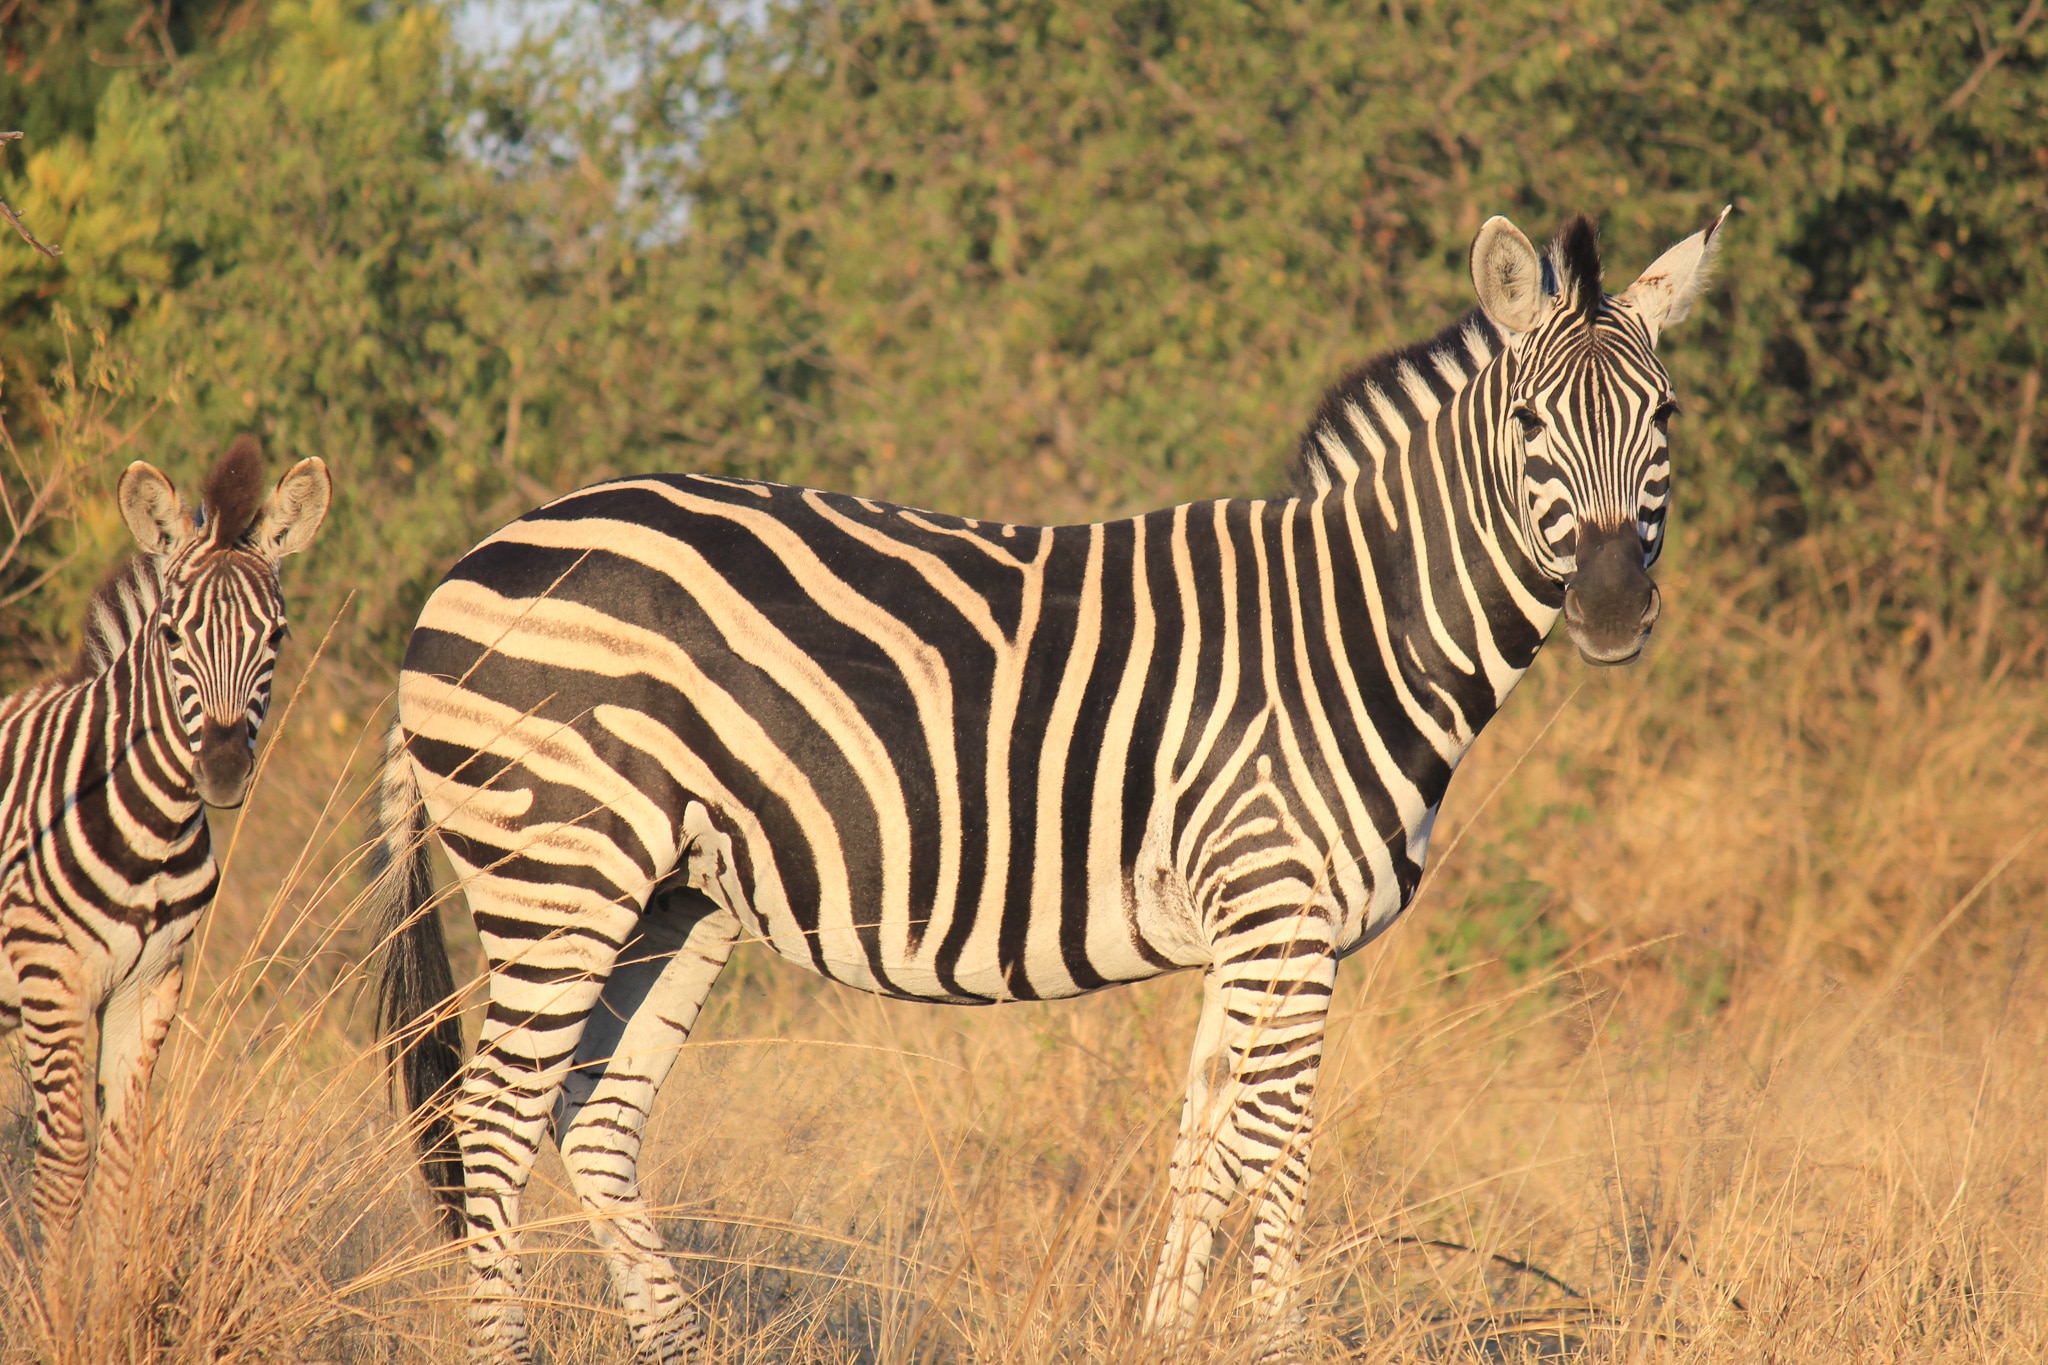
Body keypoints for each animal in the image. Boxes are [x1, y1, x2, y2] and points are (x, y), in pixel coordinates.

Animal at [0, 437, 329, 1236]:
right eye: (175, 633)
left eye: (277, 636)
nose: (223, 770)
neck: (154, 831)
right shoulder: (53, 982)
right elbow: (63, 1171)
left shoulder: (151, 985)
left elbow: (121, 1167)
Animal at [373, 209, 1726, 1363]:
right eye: (1528, 424)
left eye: (1662, 417)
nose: (1612, 609)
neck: (1354, 628)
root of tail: (468, 565)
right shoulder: (1280, 912)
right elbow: (1264, 1150)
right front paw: (1256, 1341)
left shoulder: (1259, 935)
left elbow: (1211, 1148)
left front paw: (1172, 1338)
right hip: (560, 864)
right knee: (494, 1121)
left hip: (675, 893)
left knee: (594, 1114)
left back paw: (678, 1343)